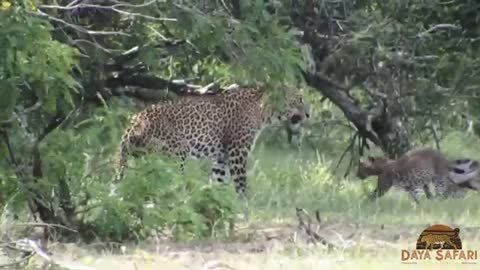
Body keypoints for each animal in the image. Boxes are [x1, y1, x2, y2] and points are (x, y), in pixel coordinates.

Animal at [111, 86, 310, 196]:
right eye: (299, 100)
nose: (309, 113)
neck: (264, 112)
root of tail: (134, 121)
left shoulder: (222, 156)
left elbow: (219, 180)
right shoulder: (237, 152)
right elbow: (240, 181)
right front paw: (245, 203)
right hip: (176, 152)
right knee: (167, 180)